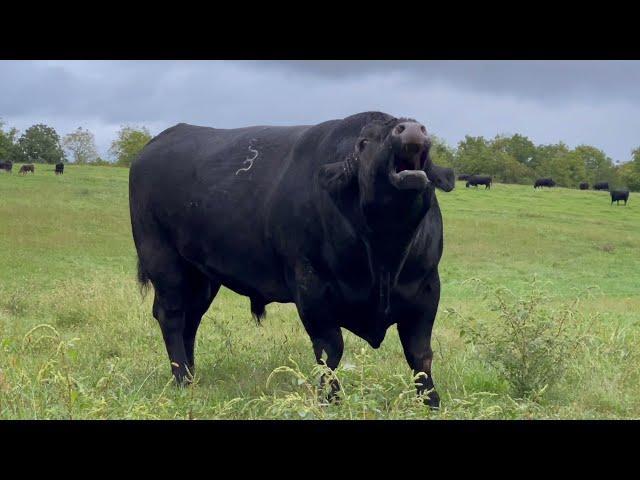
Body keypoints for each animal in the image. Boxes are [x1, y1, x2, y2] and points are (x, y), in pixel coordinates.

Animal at [131, 110, 456, 406]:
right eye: (364, 142)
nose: (411, 129)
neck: (383, 255)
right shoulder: (312, 290)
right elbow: (329, 351)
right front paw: (331, 399)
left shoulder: (427, 290)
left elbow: (420, 354)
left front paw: (431, 400)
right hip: (163, 261)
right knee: (172, 316)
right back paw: (181, 379)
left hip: (201, 276)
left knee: (192, 318)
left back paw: (191, 375)